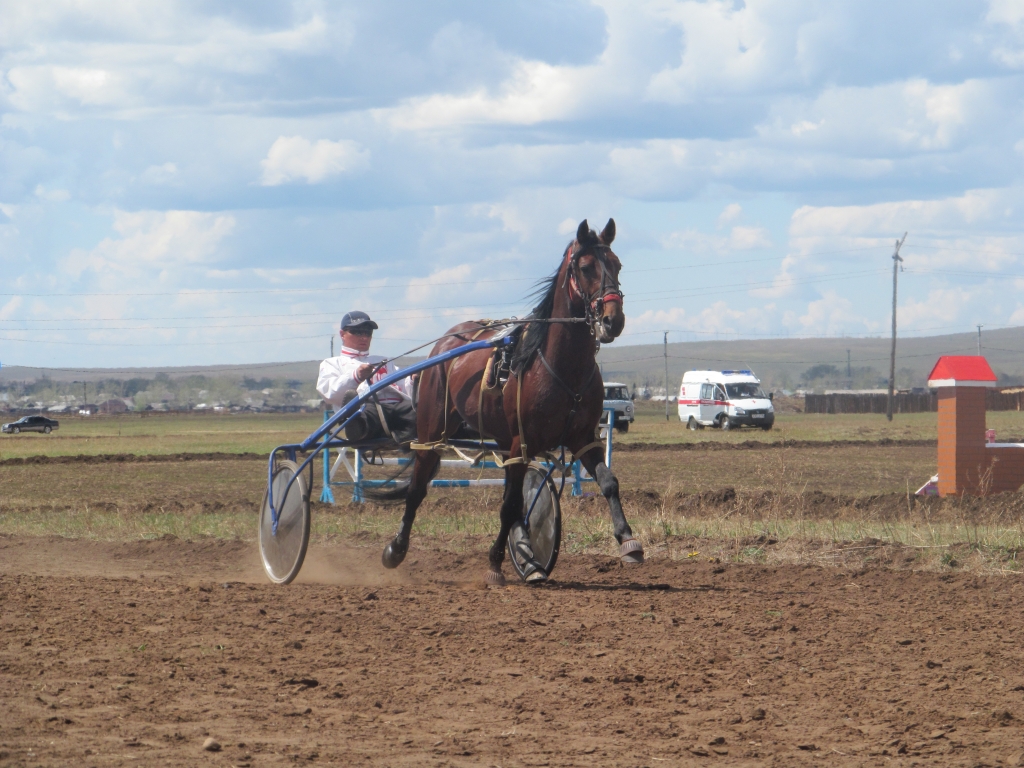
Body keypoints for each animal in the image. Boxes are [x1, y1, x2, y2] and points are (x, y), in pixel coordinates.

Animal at [380, 219, 643, 585]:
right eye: (586, 267)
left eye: (617, 264)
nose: (612, 320)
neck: (560, 365)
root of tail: (447, 342)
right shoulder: (523, 442)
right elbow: (508, 507)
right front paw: (494, 563)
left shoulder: (581, 438)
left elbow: (607, 483)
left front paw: (628, 540)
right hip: (433, 431)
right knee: (418, 487)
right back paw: (396, 549)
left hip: (503, 441)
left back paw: (529, 559)